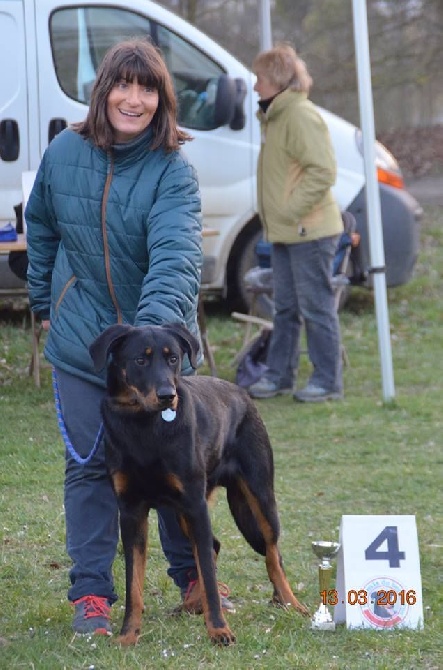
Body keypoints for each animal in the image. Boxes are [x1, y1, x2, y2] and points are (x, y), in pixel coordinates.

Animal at [90, 322, 310, 648]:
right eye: (140, 360)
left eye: (173, 358)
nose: (167, 395)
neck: (144, 424)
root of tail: (242, 393)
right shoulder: (131, 512)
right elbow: (134, 584)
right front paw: (128, 635)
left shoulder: (195, 506)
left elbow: (207, 572)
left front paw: (218, 630)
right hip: (187, 512)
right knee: (214, 546)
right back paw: (193, 603)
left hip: (257, 497)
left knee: (272, 552)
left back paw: (290, 602)